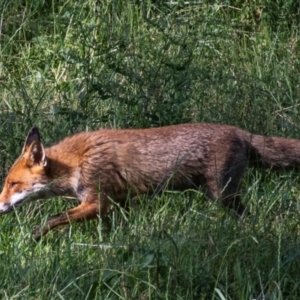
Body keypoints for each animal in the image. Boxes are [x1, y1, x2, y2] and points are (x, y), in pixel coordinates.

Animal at [0, 122, 300, 239]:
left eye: (13, 185)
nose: (0, 205)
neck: (77, 161)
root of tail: (239, 131)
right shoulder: (118, 203)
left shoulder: (97, 201)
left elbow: (53, 217)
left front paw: (36, 236)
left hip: (222, 194)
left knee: (250, 215)